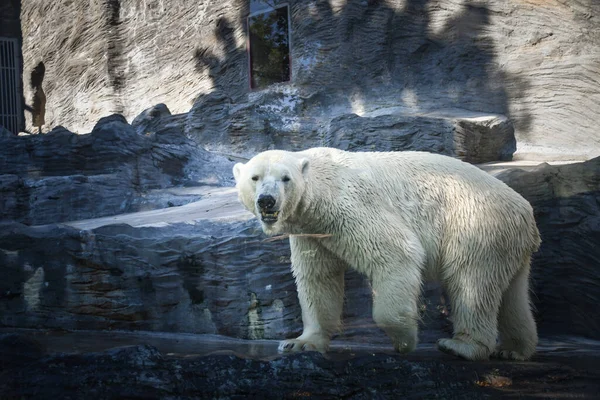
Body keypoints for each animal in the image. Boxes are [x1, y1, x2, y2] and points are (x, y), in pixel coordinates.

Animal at [232, 148, 540, 362]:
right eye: (255, 177)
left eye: (285, 178)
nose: (267, 201)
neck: (320, 187)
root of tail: (526, 213)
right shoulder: (313, 231)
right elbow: (317, 278)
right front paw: (300, 342)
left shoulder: (349, 206)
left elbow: (396, 252)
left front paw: (404, 340)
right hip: (506, 242)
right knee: (511, 294)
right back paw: (513, 349)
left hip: (475, 224)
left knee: (470, 282)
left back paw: (461, 346)